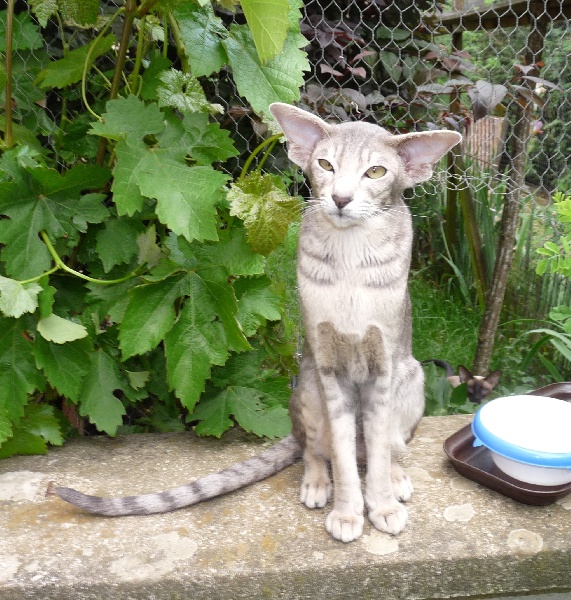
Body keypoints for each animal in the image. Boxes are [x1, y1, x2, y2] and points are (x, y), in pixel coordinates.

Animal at [53, 102, 462, 544]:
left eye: (376, 172)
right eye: (325, 164)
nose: (340, 198)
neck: (351, 255)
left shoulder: (382, 363)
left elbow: (379, 448)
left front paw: (381, 504)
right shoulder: (328, 366)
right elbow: (341, 455)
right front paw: (347, 511)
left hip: (412, 379)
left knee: (385, 448)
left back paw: (395, 477)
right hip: (308, 389)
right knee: (315, 449)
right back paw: (317, 483)